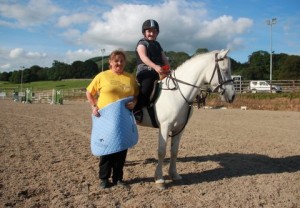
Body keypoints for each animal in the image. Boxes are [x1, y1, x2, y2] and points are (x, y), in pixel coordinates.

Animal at [137, 49, 236, 188]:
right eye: (224, 70)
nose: (232, 96)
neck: (177, 93)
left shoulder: (179, 128)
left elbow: (174, 151)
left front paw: (174, 175)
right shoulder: (165, 126)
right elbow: (161, 151)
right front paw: (159, 179)